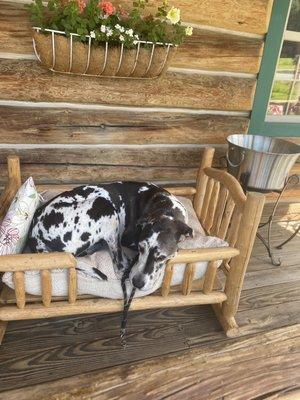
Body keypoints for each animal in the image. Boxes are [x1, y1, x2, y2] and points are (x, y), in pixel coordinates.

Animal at [27, 182, 192, 290]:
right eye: (141, 247)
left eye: (162, 257)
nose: (137, 283)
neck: (166, 207)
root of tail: (34, 235)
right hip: (105, 207)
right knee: (120, 267)